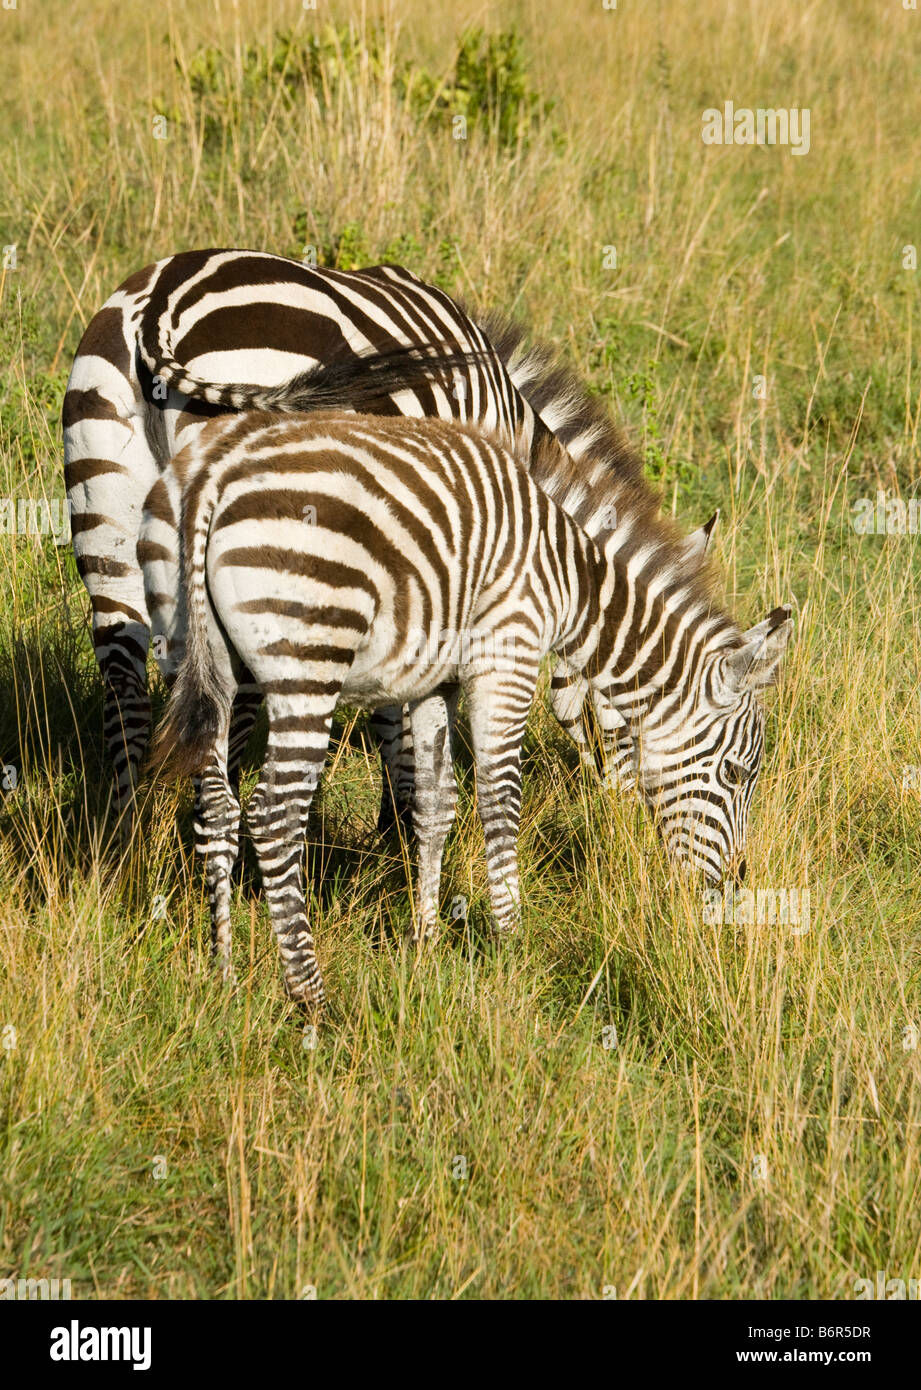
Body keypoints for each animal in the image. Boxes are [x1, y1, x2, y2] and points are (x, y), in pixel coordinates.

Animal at [63, 246, 715, 830]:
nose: (622, 822)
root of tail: (160, 305)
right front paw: (400, 828)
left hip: (110, 523)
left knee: (127, 695)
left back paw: (124, 860)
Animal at [145, 409, 792, 1006]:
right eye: (737, 775)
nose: (732, 887)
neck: (571, 577)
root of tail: (213, 473)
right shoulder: (507, 657)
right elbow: (499, 801)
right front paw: (511, 941)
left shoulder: (437, 682)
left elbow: (435, 805)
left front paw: (425, 942)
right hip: (309, 657)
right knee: (275, 816)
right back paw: (311, 999)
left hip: (199, 654)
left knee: (217, 806)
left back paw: (224, 970)